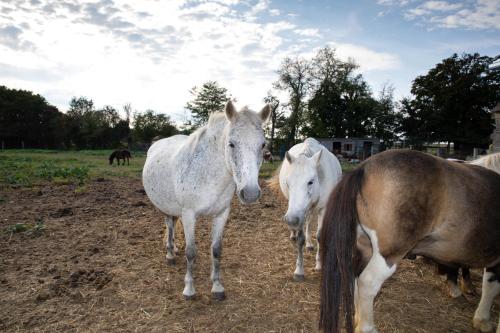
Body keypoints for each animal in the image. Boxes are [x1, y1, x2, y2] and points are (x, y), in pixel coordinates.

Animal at [143, 100, 272, 298]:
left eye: (263, 144)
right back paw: (170, 254)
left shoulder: (221, 214)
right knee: (170, 224)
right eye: (231, 144)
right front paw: (189, 289)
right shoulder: (189, 215)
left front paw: (217, 286)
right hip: (165, 207)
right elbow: (191, 252)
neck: (209, 174)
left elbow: (217, 250)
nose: (250, 193)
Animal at [270, 137, 344, 280]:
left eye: (310, 181)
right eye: (288, 183)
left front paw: (319, 264)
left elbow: (320, 236)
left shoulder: (322, 209)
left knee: (309, 221)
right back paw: (295, 235)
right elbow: (300, 239)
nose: (291, 220)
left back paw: (310, 244)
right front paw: (299, 271)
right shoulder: (298, 213)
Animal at [320, 149, 500, 332]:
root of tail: (363, 168)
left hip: (365, 248)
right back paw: (367, 327)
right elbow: (492, 287)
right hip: (388, 256)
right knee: (367, 283)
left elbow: (489, 285)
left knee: (355, 281)